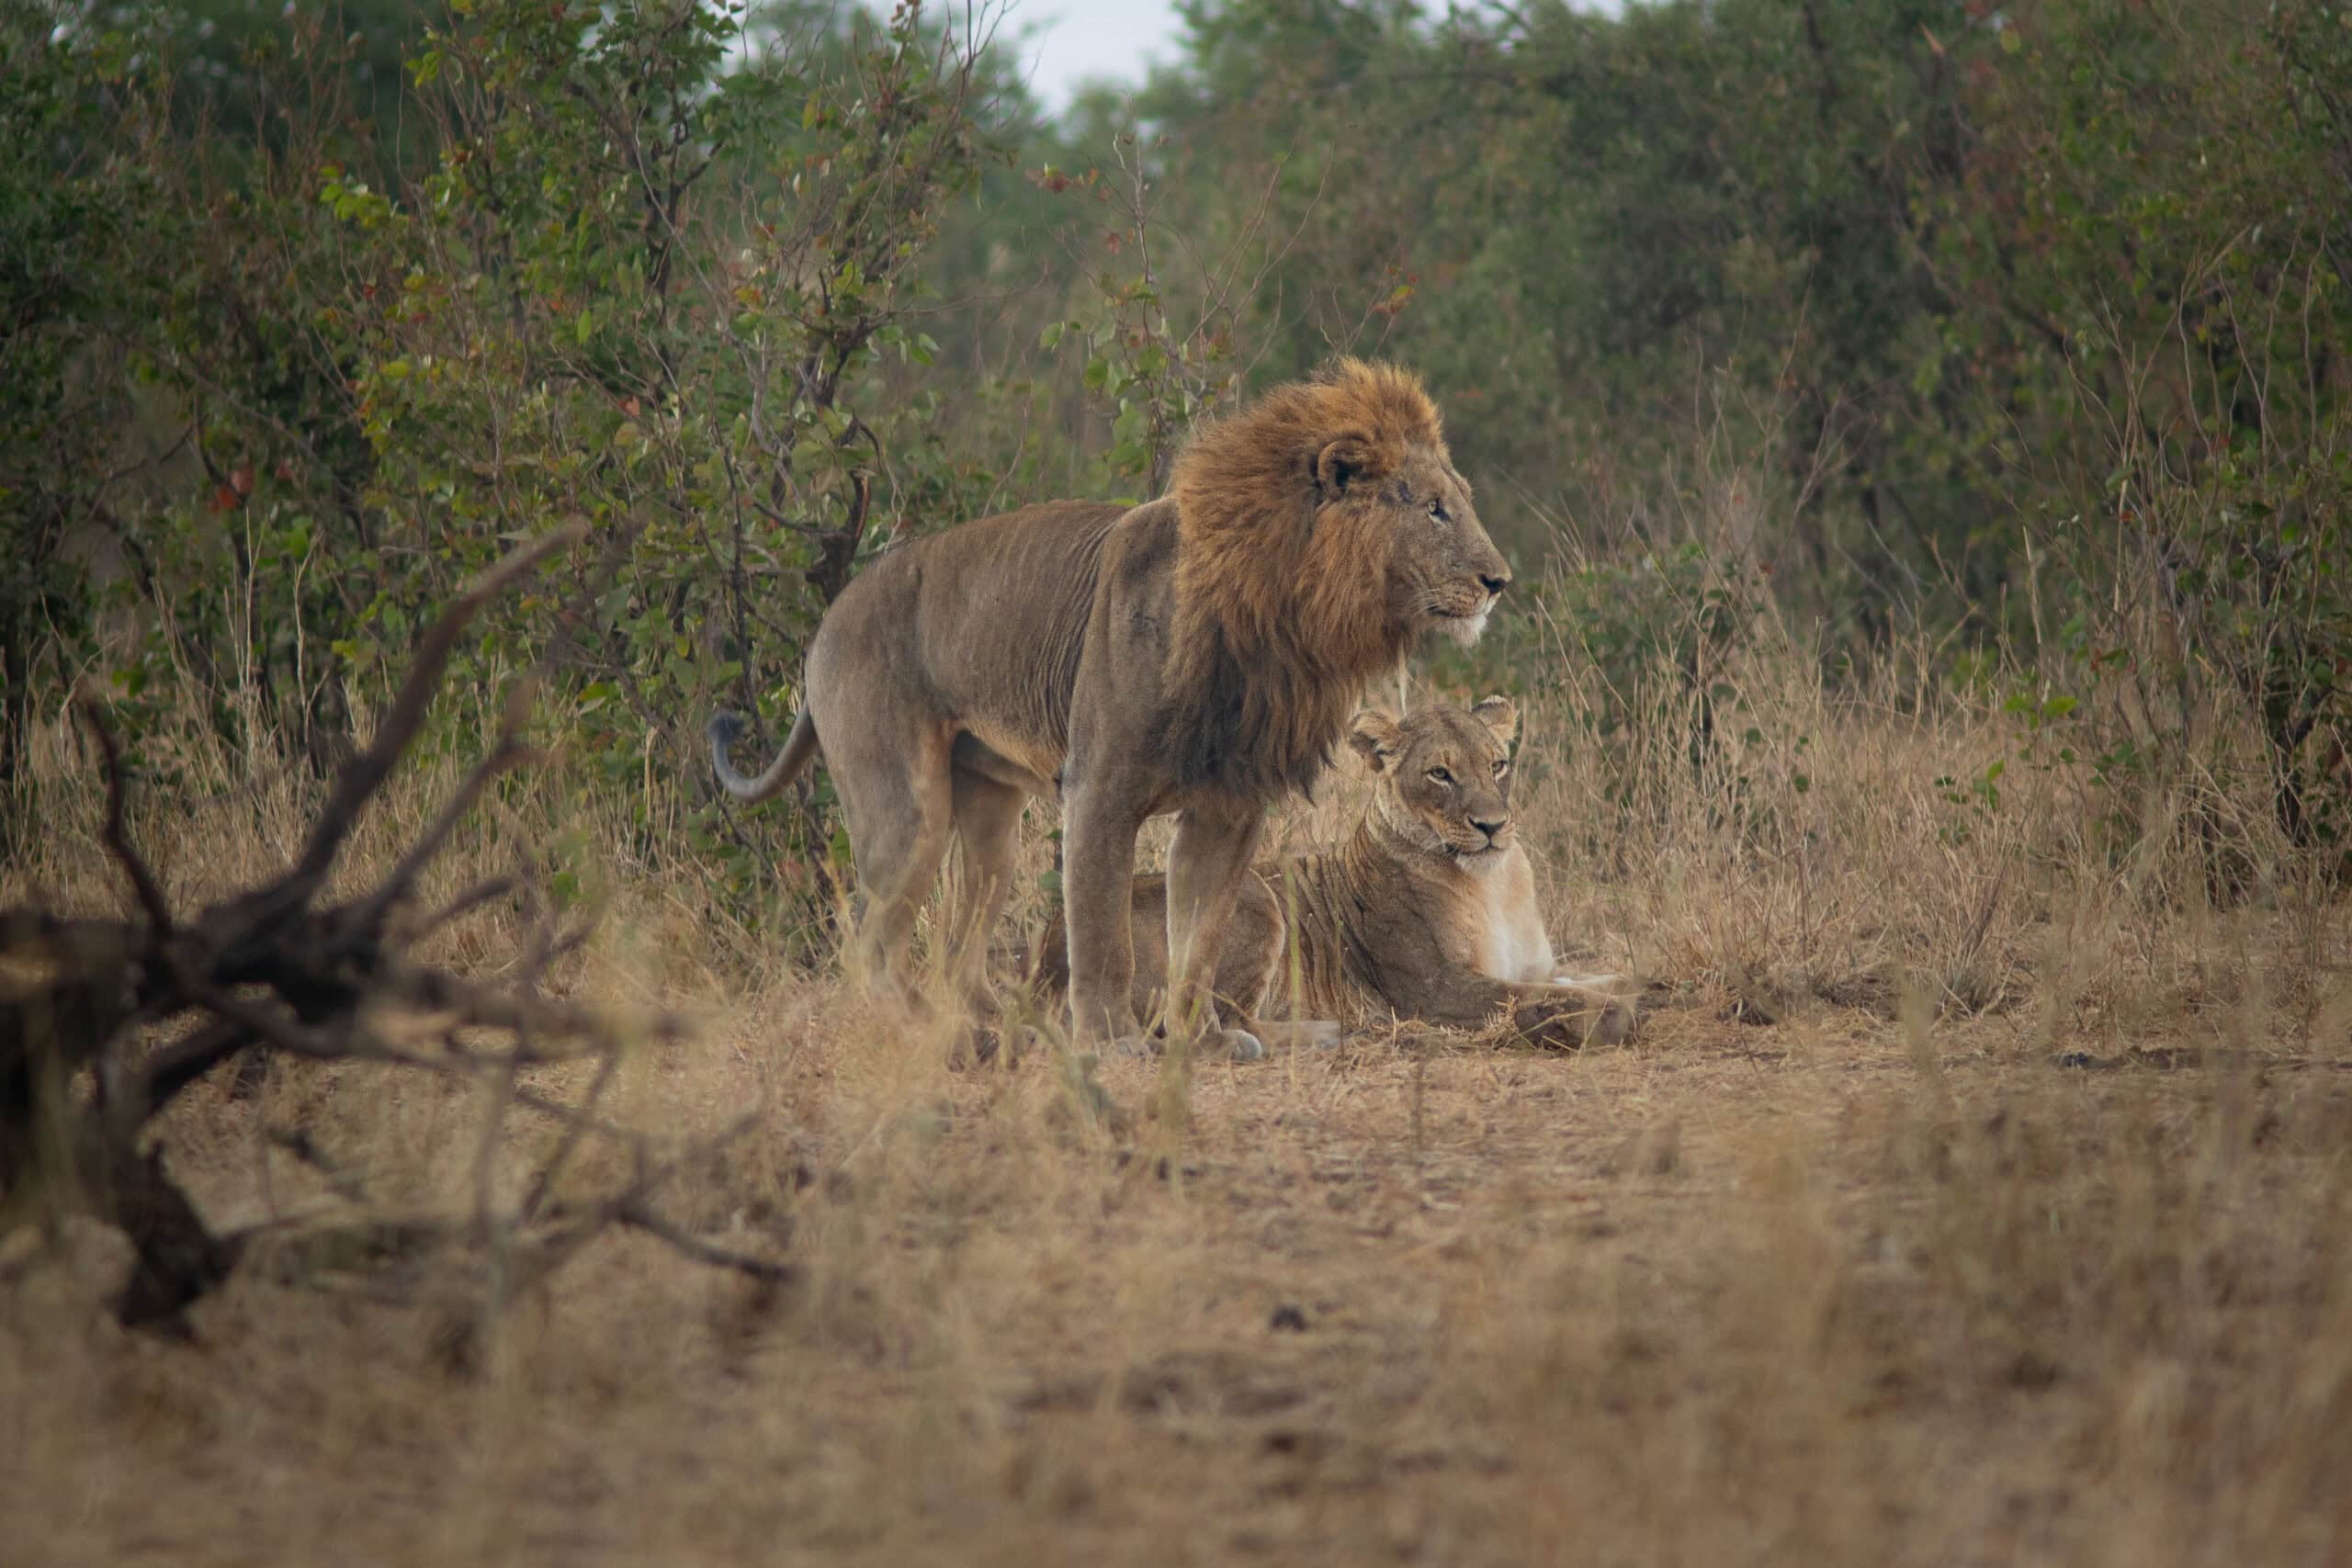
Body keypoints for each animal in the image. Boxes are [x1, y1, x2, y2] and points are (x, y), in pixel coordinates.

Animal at [709, 360, 1512, 1060]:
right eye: (1433, 509)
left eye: (1462, 500)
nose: (1499, 579)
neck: (1285, 611)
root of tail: (827, 621)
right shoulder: (1099, 788)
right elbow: (1102, 931)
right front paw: (1112, 1040)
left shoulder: (1228, 807)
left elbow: (1199, 937)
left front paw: (1203, 1041)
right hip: (907, 808)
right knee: (867, 938)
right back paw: (937, 1035)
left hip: (990, 816)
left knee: (958, 943)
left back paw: (1005, 1028)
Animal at [1030, 697, 1637, 1050]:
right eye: (1439, 774)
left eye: (1498, 765)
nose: (1492, 826)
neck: (1495, 882)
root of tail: (1044, 955)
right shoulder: (1437, 989)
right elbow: (1543, 995)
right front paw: (1607, 1013)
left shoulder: (1536, 964)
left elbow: (1589, 978)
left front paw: (1638, 985)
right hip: (1255, 896)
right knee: (1226, 1022)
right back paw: (1330, 1031)